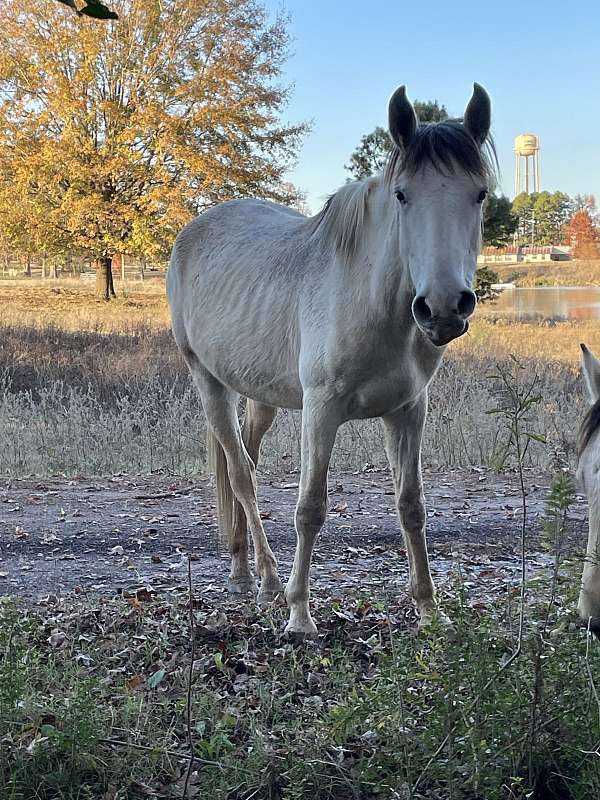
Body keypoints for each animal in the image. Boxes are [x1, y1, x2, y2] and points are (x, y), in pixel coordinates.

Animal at [166, 81, 494, 632]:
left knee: (245, 464)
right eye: (402, 194)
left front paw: (428, 608)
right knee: (240, 475)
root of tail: (195, 230)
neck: (372, 304)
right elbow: (310, 508)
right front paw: (299, 613)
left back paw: (244, 570)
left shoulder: (408, 411)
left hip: (261, 396)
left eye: (480, 194)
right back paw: (268, 582)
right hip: (207, 381)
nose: (444, 308)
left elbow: (411, 504)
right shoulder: (320, 412)